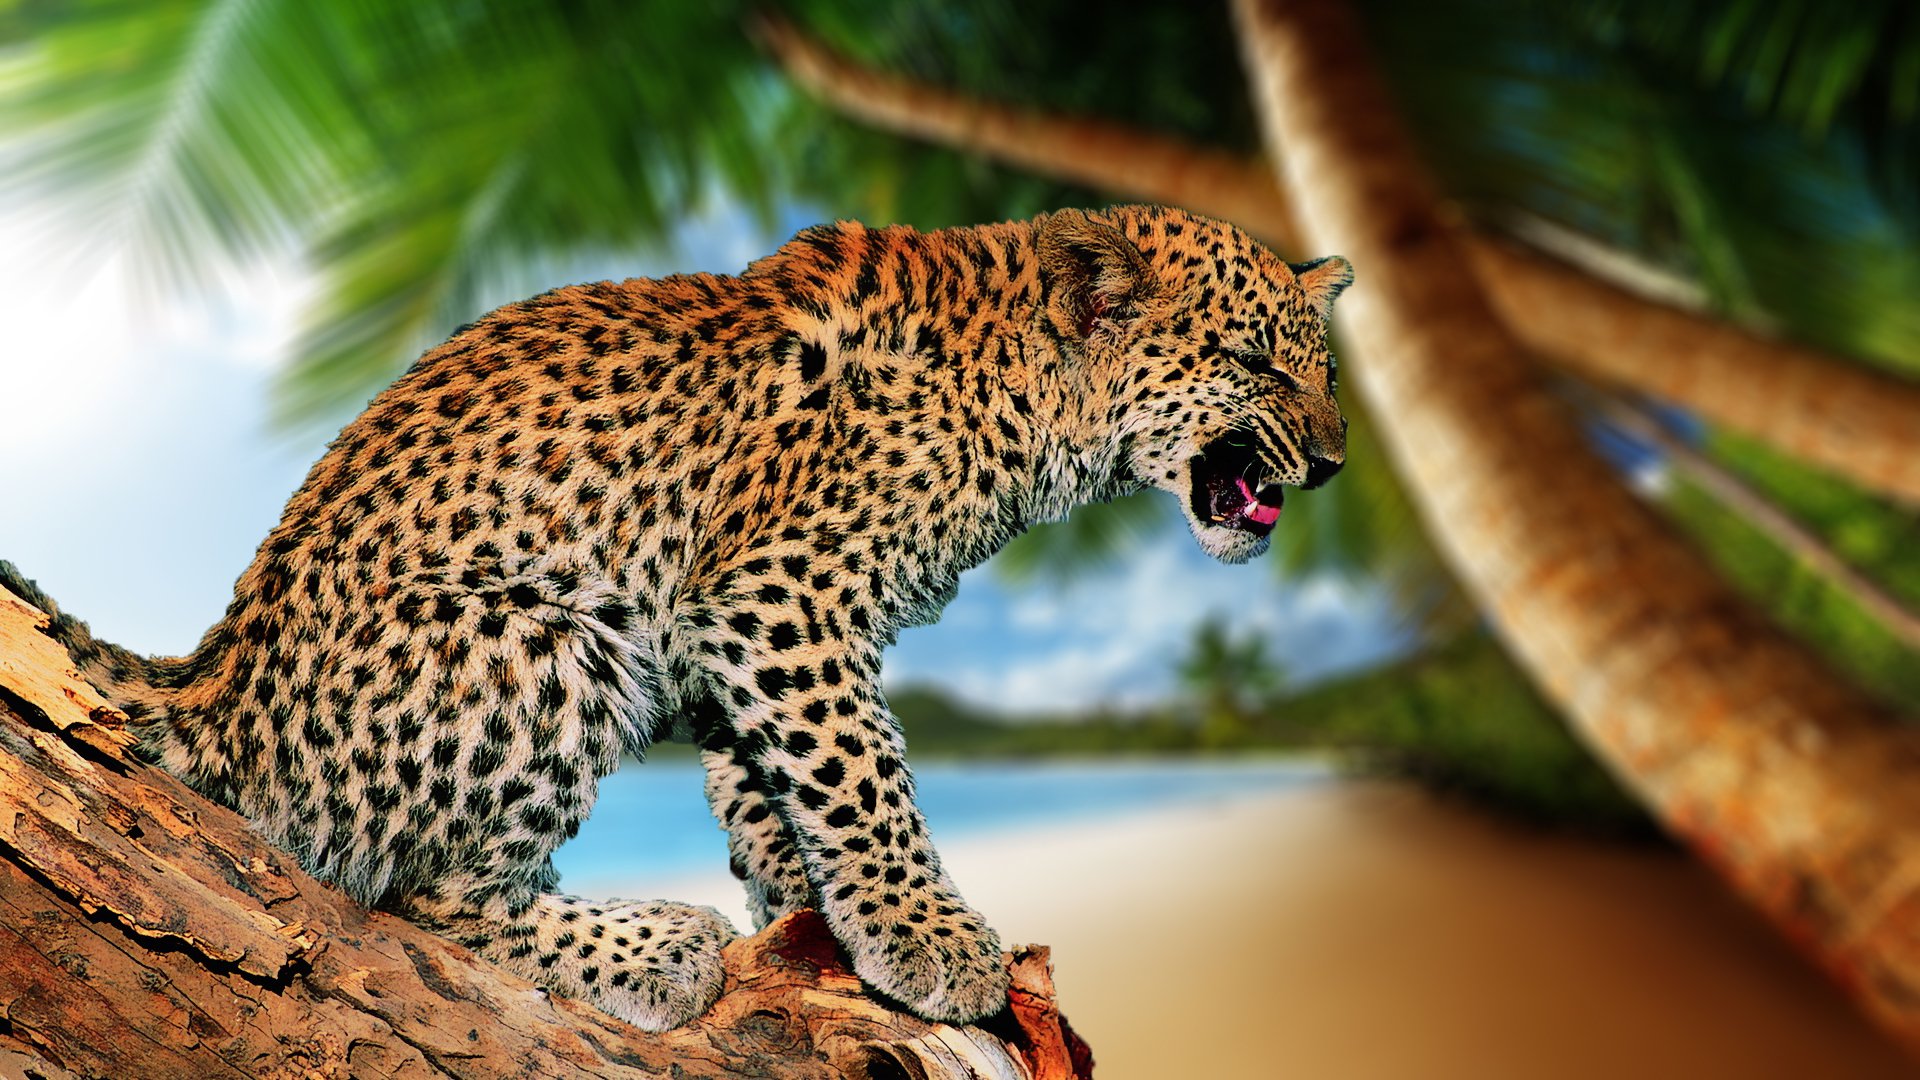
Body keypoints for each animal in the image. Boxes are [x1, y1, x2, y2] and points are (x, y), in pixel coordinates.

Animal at [1, 204, 1352, 1031]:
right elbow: (864, 772)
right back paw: (651, 944)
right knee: (423, 896)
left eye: (1328, 371)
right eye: (1257, 364)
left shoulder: (726, 629)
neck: (1029, 401)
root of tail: (206, 674)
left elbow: (771, 779)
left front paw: (807, 908)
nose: (1338, 461)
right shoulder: (782, 591)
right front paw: (926, 936)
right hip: (552, 644)